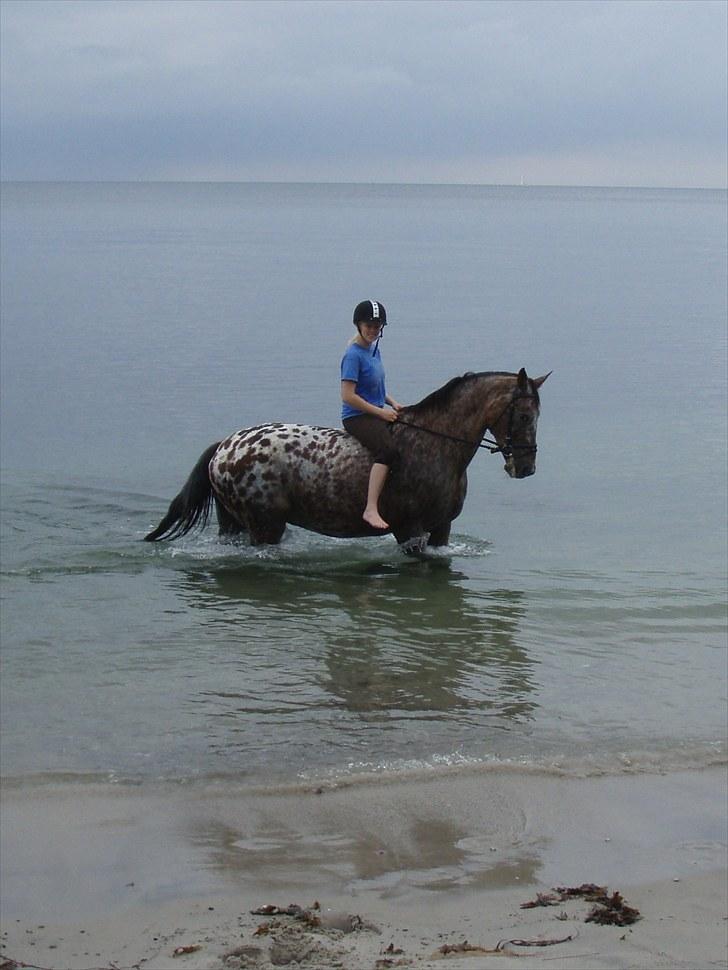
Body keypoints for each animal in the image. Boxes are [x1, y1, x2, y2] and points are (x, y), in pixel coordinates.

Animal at [145, 368, 548, 556]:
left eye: (537, 415)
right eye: (524, 415)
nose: (525, 468)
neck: (436, 445)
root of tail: (224, 447)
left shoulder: (441, 530)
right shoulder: (410, 530)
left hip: (234, 523)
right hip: (263, 526)